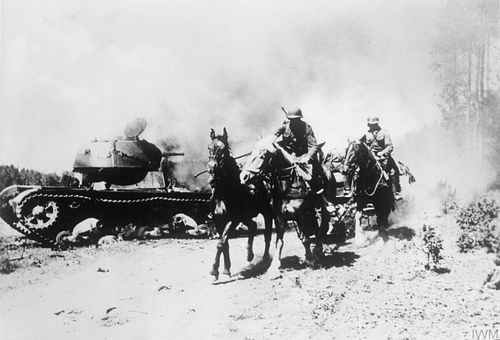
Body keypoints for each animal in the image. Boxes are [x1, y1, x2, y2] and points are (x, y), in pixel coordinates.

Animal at [206, 128, 274, 282]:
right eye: (209, 147)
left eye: (223, 150)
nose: (212, 168)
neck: (225, 192)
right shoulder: (219, 221)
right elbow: (225, 244)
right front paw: (226, 270)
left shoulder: (232, 220)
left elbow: (221, 243)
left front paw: (214, 271)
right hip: (245, 216)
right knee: (253, 226)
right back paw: (249, 254)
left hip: (266, 212)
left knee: (267, 235)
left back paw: (265, 259)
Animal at [240, 135, 330, 278]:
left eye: (263, 155)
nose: (243, 177)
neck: (289, 186)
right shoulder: (279, 217)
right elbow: (279, 241)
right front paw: (273, 267)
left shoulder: (302, 214)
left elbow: (306, 239)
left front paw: (310, 259)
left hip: (321, 205)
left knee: (323, 222)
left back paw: (317, 250)